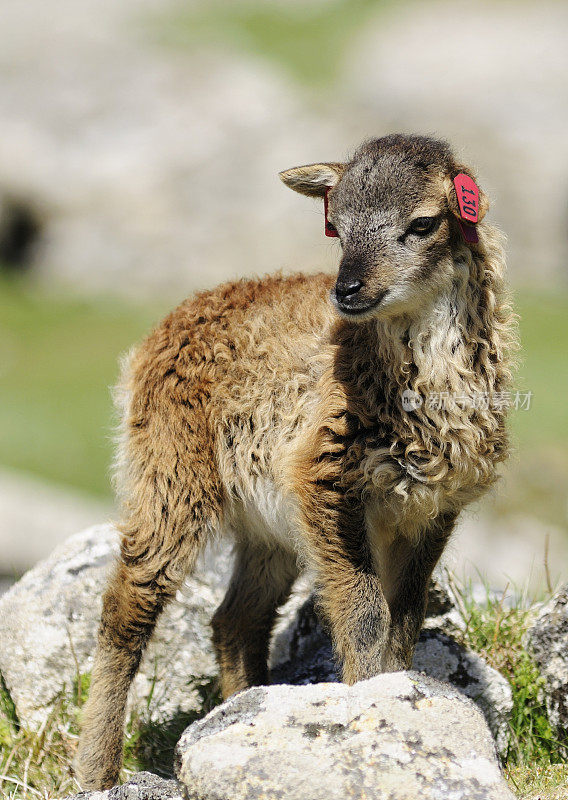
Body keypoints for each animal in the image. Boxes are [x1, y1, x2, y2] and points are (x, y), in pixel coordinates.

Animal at [74, 134, 516, 792]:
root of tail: (165, 326)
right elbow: (363, 614)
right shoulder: (325, 480)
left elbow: (405, 616)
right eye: (338, 227)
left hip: (269, 524)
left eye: (423, 224)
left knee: (235, 620)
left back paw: (242, 708)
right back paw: (97, 770)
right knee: (127, 605)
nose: (348, 290)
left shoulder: (433, 508)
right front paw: (372, 702)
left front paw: (397, 695)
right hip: (171, 475)